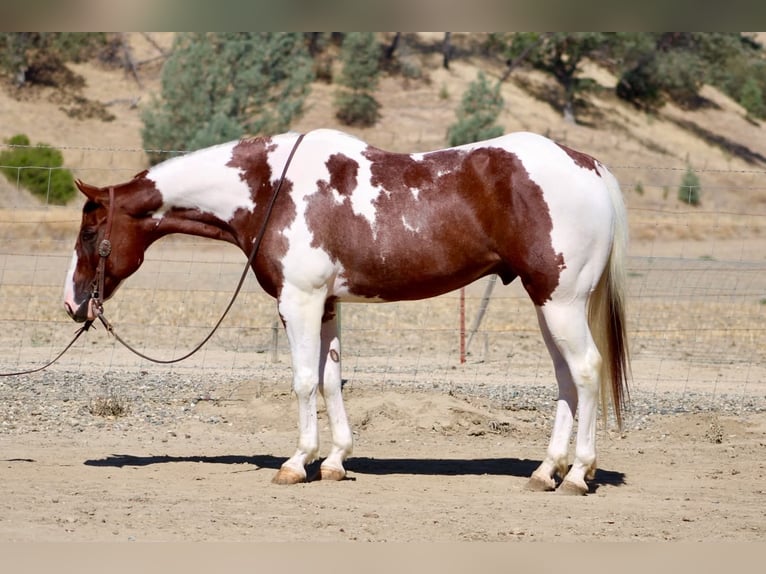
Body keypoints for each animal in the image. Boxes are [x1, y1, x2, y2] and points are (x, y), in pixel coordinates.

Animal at [64, 128, 629, 495]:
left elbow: (301, 381)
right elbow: (330, 379)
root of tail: (591, 166)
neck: (272, 188)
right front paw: (335, 461)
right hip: (548, 304)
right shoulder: (327, 305)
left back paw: (576, 474)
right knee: (565, 379)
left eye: (90, 232)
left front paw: (297, 463)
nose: (72, 303)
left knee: (585, 371)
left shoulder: (299, 301)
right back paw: (545, 471)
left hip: (561, 302)